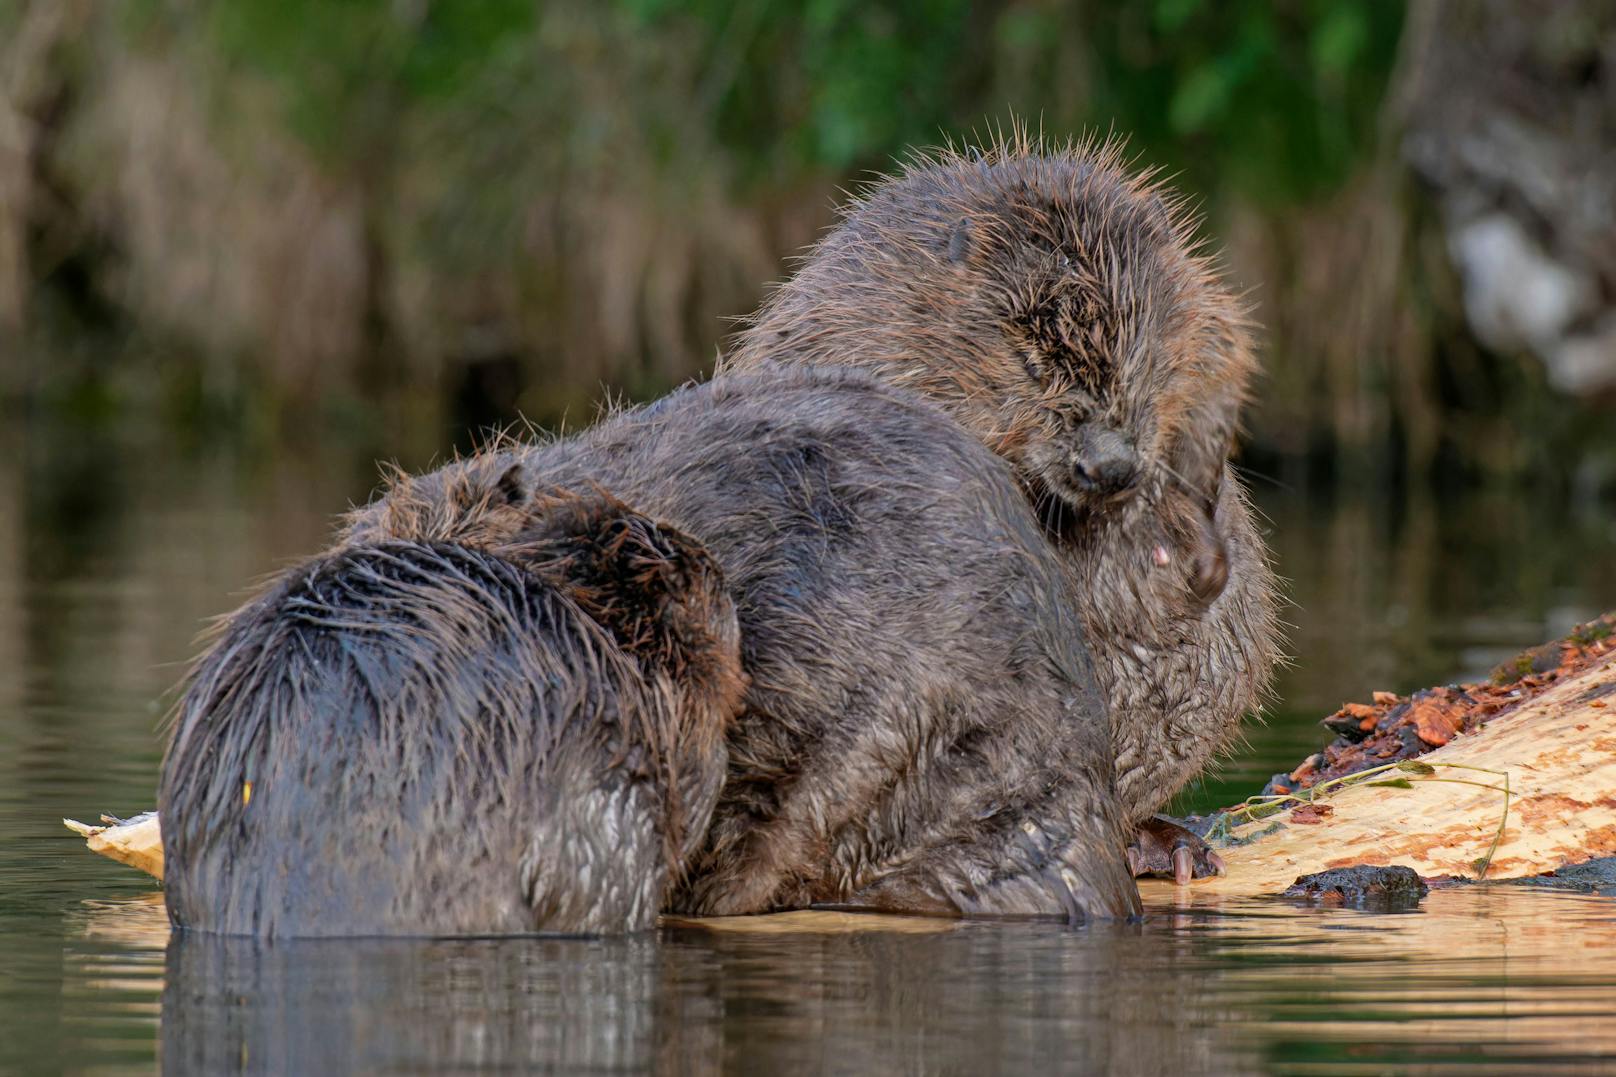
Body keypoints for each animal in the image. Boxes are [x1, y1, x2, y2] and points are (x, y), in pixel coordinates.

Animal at [727, 134, 1279, 879]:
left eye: (1135, 343)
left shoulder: (1200, 302)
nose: (1109, 465)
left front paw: (1190, 545)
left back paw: (1166, 847)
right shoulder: (865, 330)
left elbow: (1217, 367)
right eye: (1030, 359)